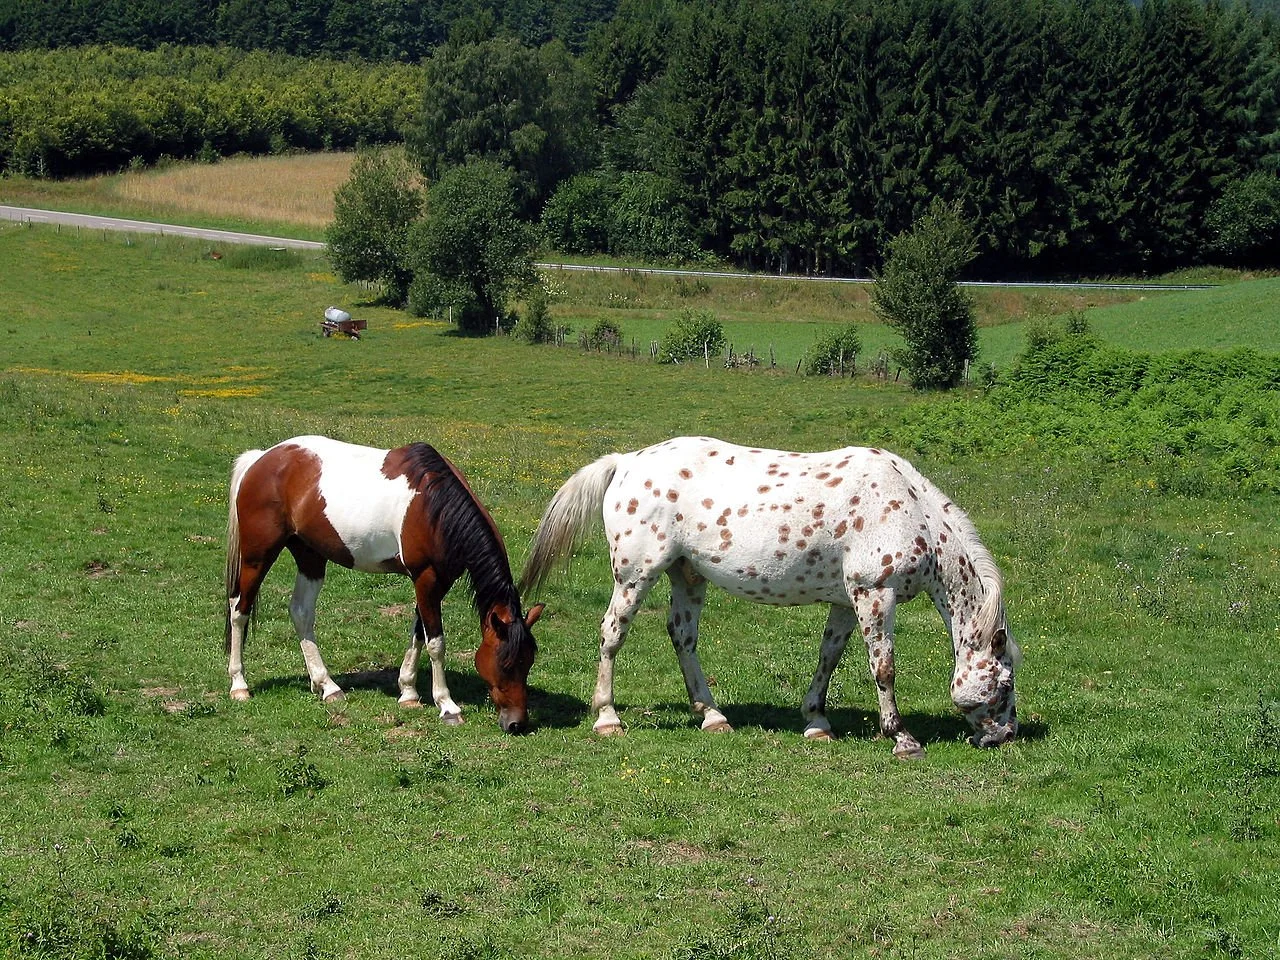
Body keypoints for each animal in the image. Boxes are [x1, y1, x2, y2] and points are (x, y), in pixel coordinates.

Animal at [224, 435, 543, 733]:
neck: (434, 507)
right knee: (239, 610)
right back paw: (239, 685)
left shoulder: (436, 582)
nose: (517, 724)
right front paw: (447, 705)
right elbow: (435, 643)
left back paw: (326, 685)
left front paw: (409, 692)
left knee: (301, 612)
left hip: (310, 556)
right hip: (256, 557)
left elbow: (419, 634)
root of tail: (260, 459)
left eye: (529, 662)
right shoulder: (426, 578)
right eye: (506, 664)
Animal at [521, 436, 1019, 757]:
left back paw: (712, 715)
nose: (1005, 736)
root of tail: (625, 463)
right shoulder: (874, 594)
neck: (911, 510)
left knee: (682, 637)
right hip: (635, 575)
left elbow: (829, 657)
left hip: (687, 575)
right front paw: (901, 738)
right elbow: (884, 668)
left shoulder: (846, 601)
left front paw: (816, 722)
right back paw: (607, 718)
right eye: (1005, 684)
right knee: (613, 633)